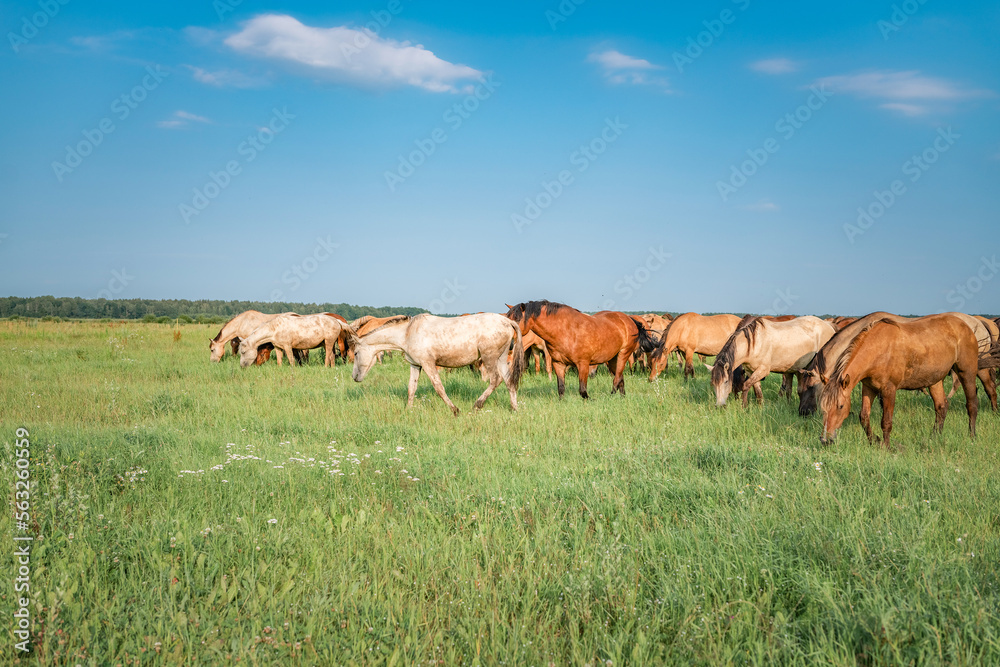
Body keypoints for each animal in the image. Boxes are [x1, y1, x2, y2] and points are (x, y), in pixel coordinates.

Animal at [350, 314, 528, 418]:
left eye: (356, 353)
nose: (354, 377)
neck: (407, 333)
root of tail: (507, 321)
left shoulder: (428, 364)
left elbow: (438, 387)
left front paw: (455, 410)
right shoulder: (415, 365)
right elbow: (411, 388)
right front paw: (408, 411)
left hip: (489, 358)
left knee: (495, 380)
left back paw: (477, 405)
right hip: (501, 359)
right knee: (509, 382)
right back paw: (514, 409)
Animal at [504, 300, 660, 400]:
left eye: (516, 320)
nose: (509, 344)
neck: (565, 331)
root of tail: (629, 319)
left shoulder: (583, 364)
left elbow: (583, 391)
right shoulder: (558, 364)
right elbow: (561, 388)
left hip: (623, 354)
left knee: (616, 379)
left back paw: (611, 397)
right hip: (612, 359)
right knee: (620, 379)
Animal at [796, 310, 1000, 414]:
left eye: (810, 387)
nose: (803, 413)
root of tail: (979, 323)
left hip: (976, 369)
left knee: (989, 388)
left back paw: (994, 411)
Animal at [820, 316, 984, 452]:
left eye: (840, 406)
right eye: (823, 408)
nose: (825, 440)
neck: (878, 349)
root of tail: (966, 326)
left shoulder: (889, 390)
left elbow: (886, 421)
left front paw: (887, 447)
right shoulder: (869, 388)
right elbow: (864, 417)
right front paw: (875, 441)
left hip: (966, 372)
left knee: (972, 404)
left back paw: (972, 437)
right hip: (935, 381)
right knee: (941, 407)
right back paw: (934, 437)